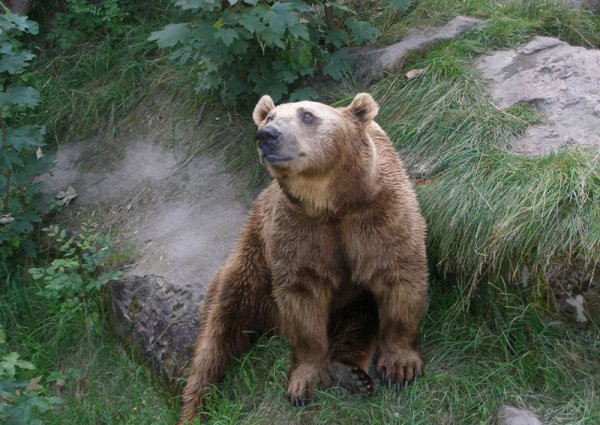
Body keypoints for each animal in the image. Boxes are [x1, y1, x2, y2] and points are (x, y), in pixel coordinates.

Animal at [178, 92, 426, 420]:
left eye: (307, 115)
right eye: (270, 117)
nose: (267, 135)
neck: (331, 205)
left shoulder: (378, 216)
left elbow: (398, 275)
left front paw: (401, 366)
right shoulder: (299, 231)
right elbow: (302, 296)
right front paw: (303, 382)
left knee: (360, 317)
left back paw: (351, 372)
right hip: (252, 260)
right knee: (220, 326)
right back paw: (194, 407)